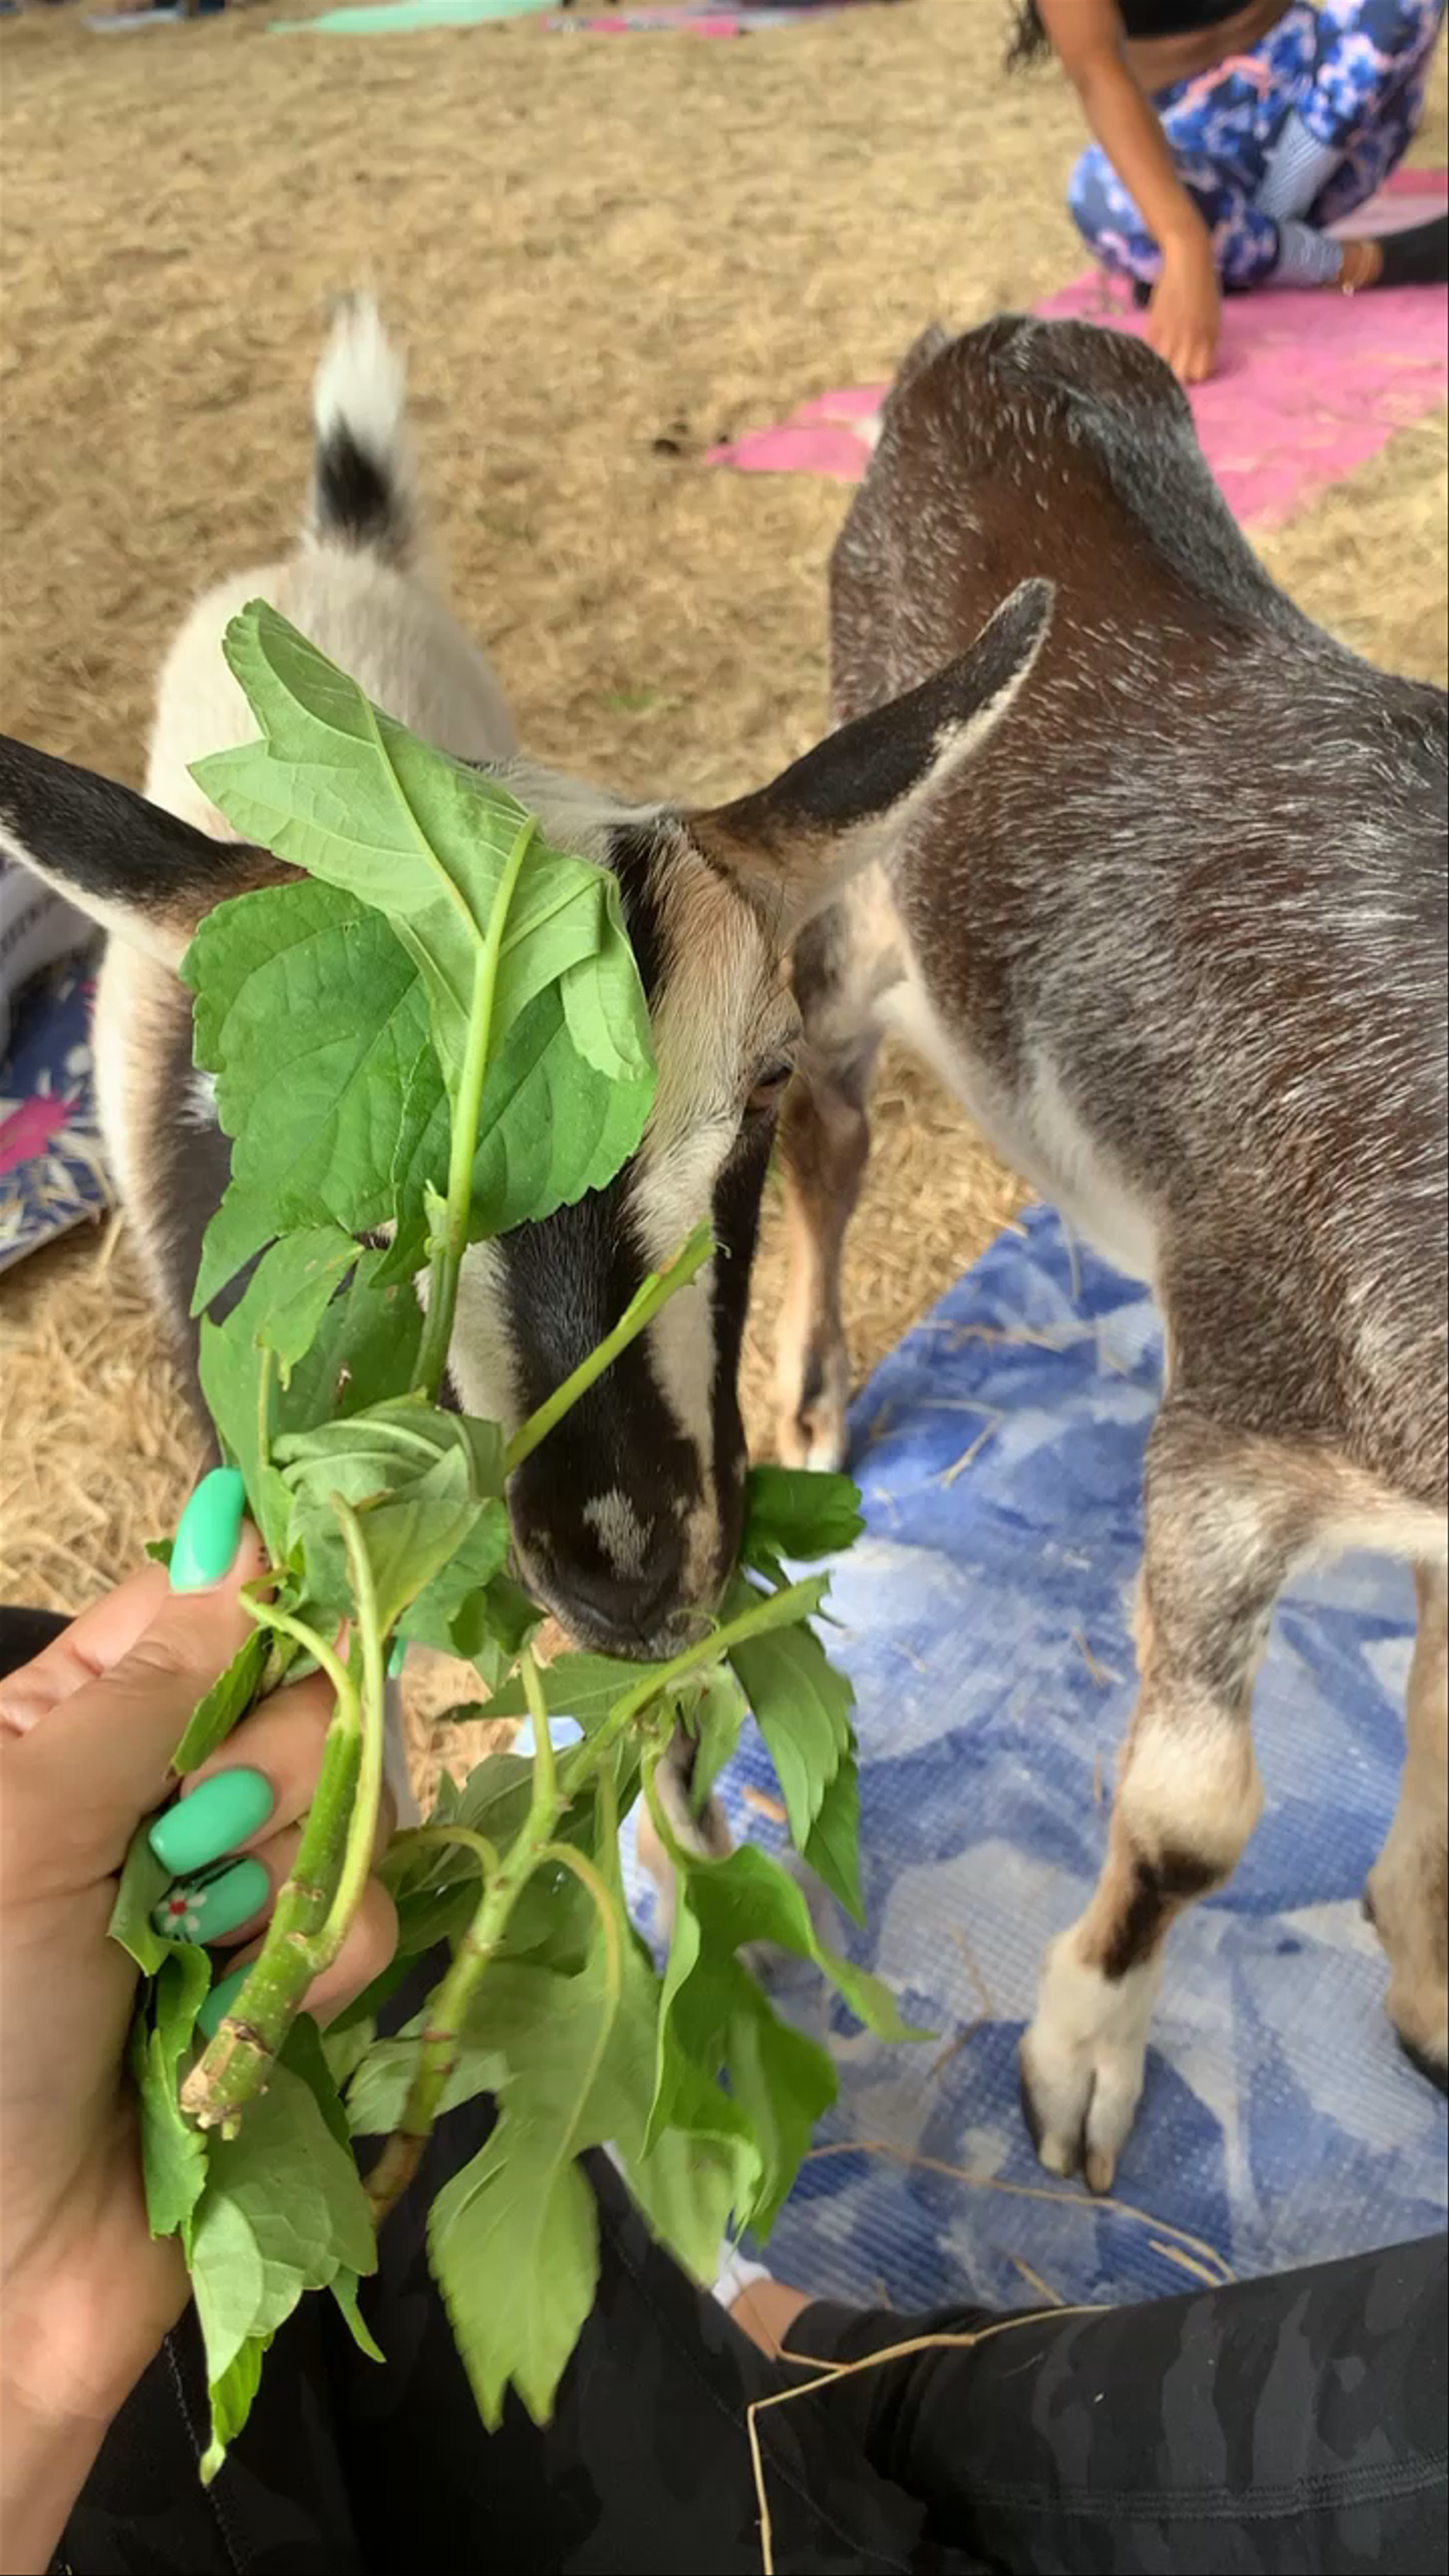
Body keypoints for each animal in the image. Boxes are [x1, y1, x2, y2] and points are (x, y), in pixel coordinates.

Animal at [767, 311, 1447, 2186]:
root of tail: (994, 337)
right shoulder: (1242, 1440)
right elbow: (1195, 1813)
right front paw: (1079, 2069)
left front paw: (1428, 1977)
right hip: (849, 879)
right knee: (821, 1126)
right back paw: (806, 1416)